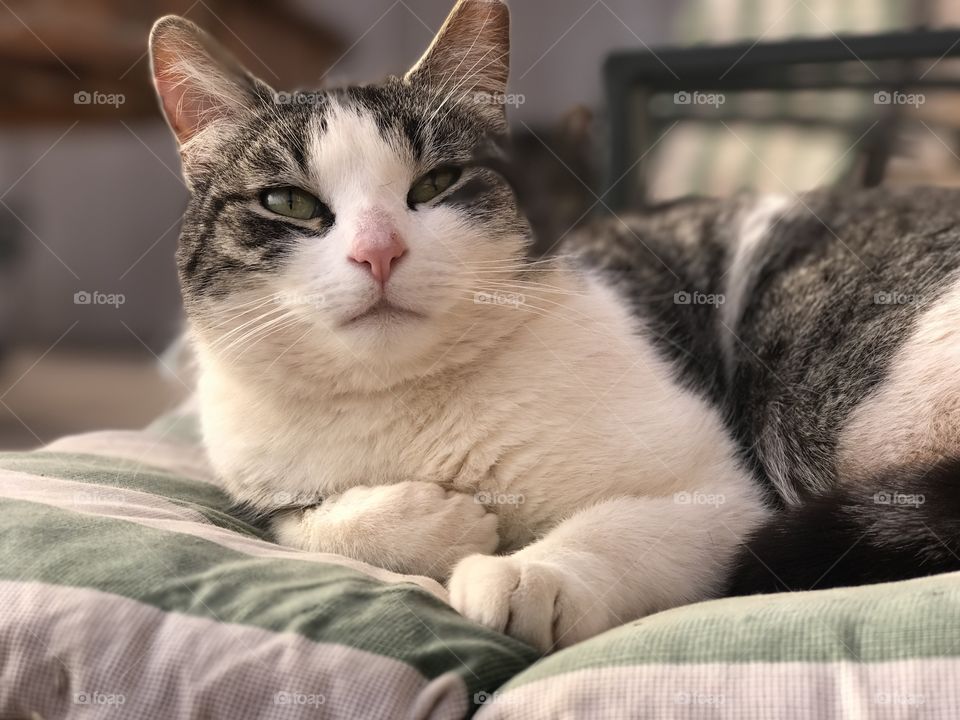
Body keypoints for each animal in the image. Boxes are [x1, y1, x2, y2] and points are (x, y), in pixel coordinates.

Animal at [148, 0, 960, 656]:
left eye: (436, 184)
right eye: (288, 202)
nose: (378, 251)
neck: (403, 407)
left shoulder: (719, 492)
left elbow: (620, 528)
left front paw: (527, 574)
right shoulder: (255, 477)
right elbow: (298, 520)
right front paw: (440, 522)